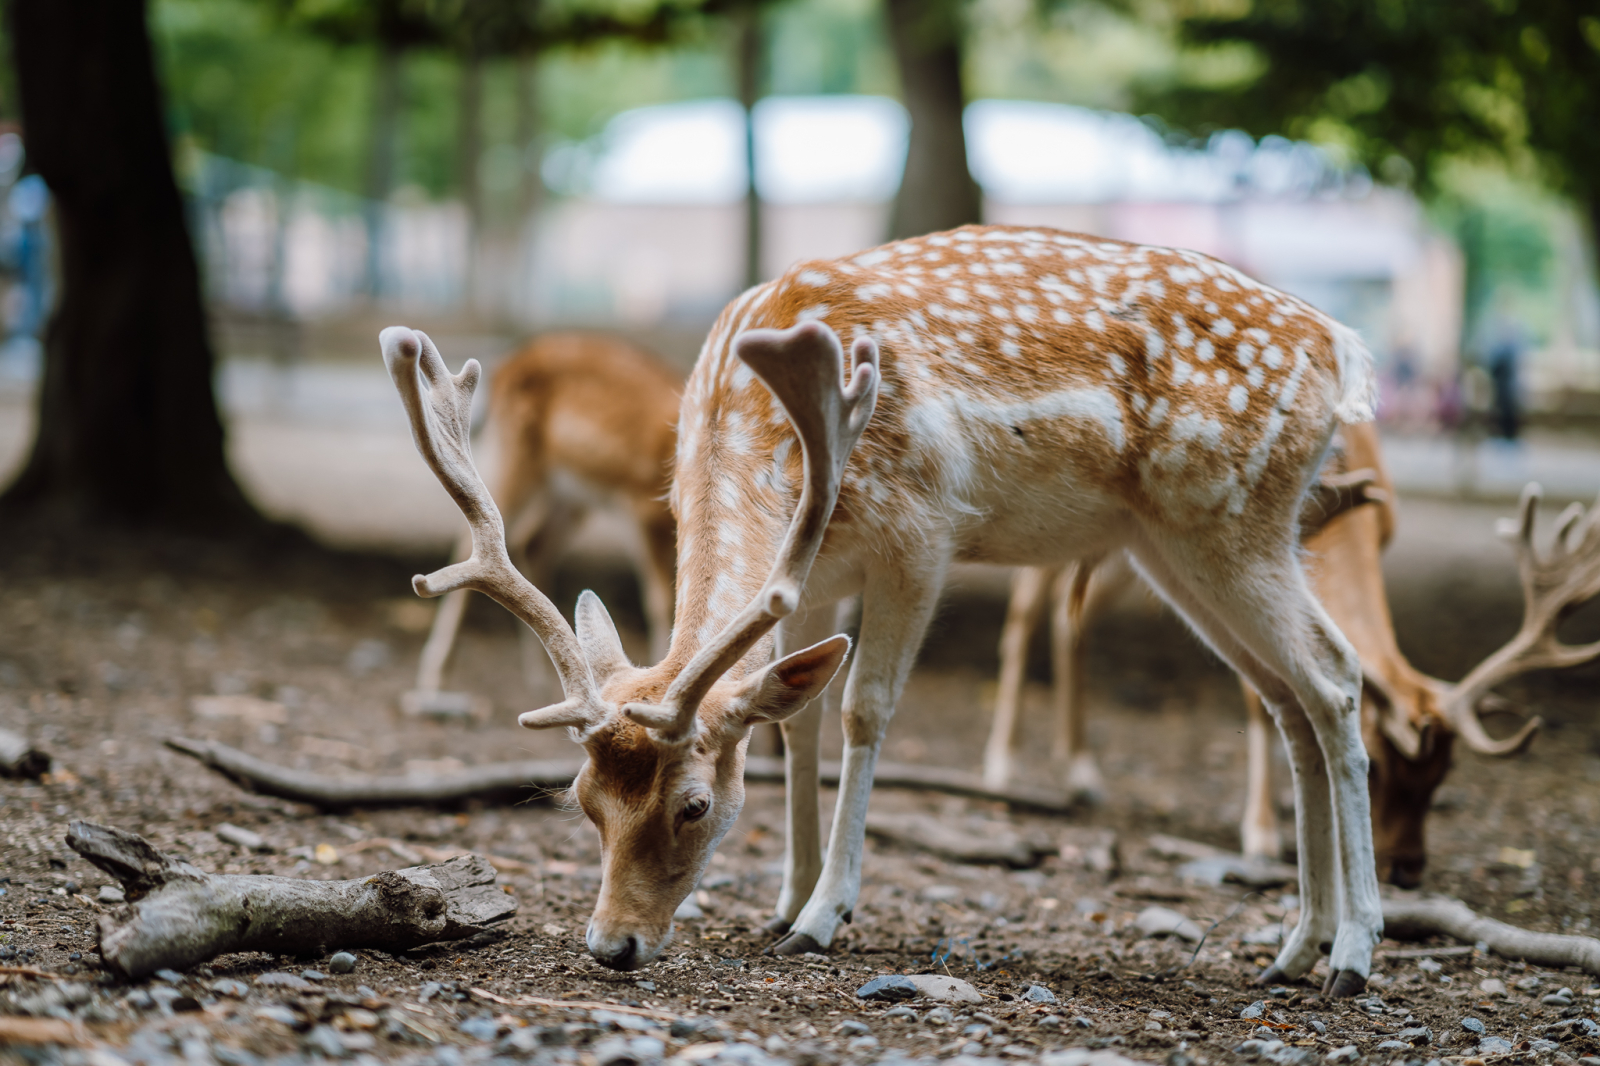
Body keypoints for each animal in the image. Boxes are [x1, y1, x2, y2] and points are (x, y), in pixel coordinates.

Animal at [406, 332, 680, 715]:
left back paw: (544, 678)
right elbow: (661, 601)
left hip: (569, 493)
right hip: (518, 455)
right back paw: (434, 677)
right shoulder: (645, 509)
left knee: (533, 542)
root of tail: (506, 365)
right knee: (471, 538)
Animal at [982, 420, 1600, 887]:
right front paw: (1260, 834)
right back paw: (1002, 766)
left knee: (1070, 613)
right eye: (1376, 765)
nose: (1406, 867)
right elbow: (1263, 696)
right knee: (1025, 606)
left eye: (1443, 776)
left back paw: (1081, 770)